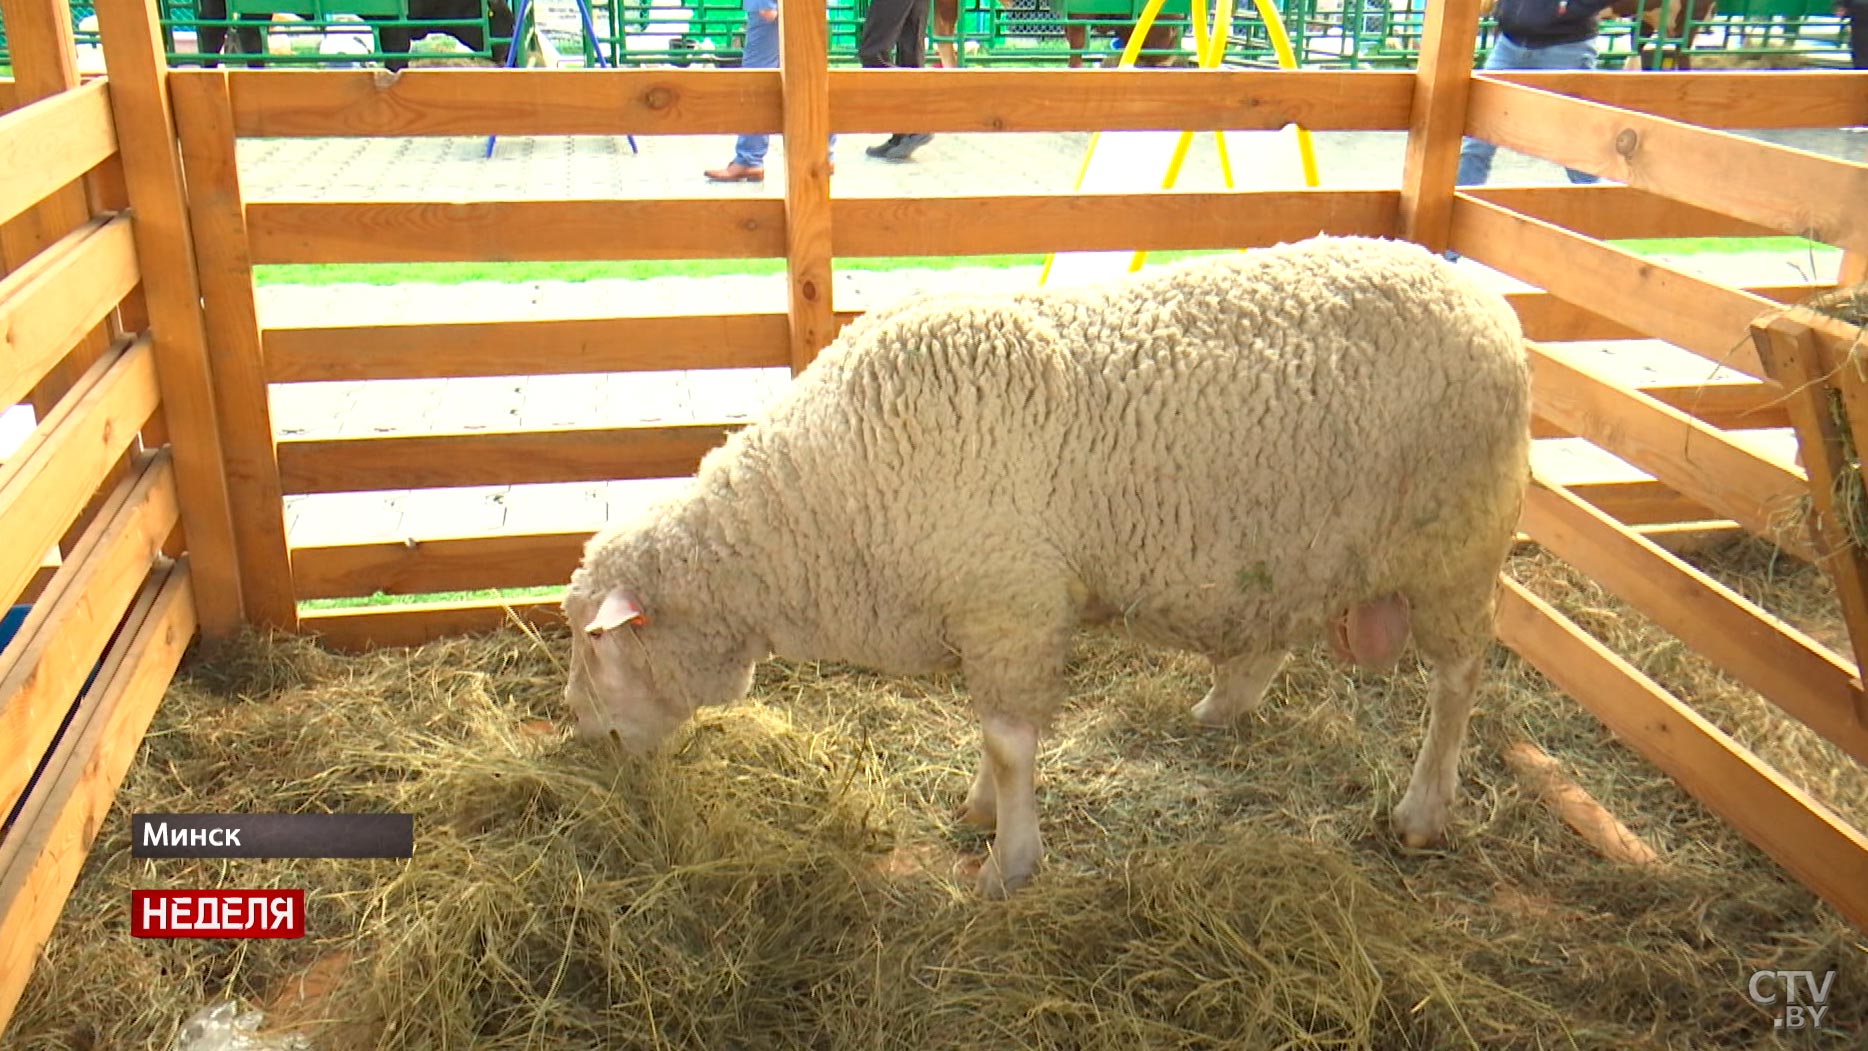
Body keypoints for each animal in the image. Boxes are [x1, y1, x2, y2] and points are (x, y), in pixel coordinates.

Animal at [560, 234, 1524, 899]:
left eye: (596, 644)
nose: (585, 737)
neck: (818, 501)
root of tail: (1484, 297)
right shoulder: (989, 611)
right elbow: (992, 733)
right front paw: (983, 810)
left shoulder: (1009, 604)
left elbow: (1009, 741)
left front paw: (1008, 860)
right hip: (1303, 541)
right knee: (1279, 633)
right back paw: (1220, 705)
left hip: (1457, 543)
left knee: (1458, 679)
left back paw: (1423, 810)